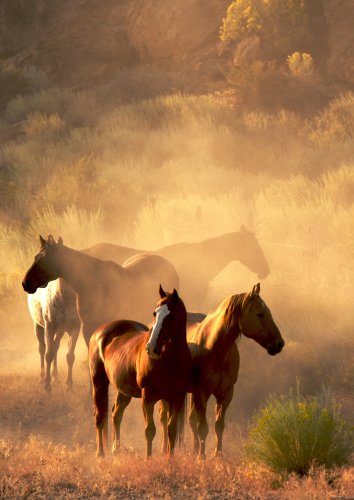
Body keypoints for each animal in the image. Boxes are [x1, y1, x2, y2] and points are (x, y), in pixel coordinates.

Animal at [21, 236, 180, 388]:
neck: (93, 283)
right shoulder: (87, 329)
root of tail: (170, 266)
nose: (25, 283)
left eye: (45, 260)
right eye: (35, 257)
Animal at [90, 286, 192, 458]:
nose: (151, 348)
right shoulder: (148, 397)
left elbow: (171, 429)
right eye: (155, 313)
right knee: (100, 416)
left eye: (171, 316)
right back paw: (100, 454)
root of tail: (100, 332)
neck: (170, 360)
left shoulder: (175, 398)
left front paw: (170, 459)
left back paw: (116, 449)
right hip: (99, 383)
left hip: (124, 391)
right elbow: (150, 430)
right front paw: (148, 459)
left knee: (116, 413)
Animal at [160, 282, 284, 458]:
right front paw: (202, 458)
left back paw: (194, 450)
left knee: (190, 420)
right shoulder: (202, 394)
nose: (280, 343)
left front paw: (217, 456)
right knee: (165, 419)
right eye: (260, 314)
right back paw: (165, 449)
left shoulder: (225, 394)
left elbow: (219, 426)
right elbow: (203, 427)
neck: (215, 348)